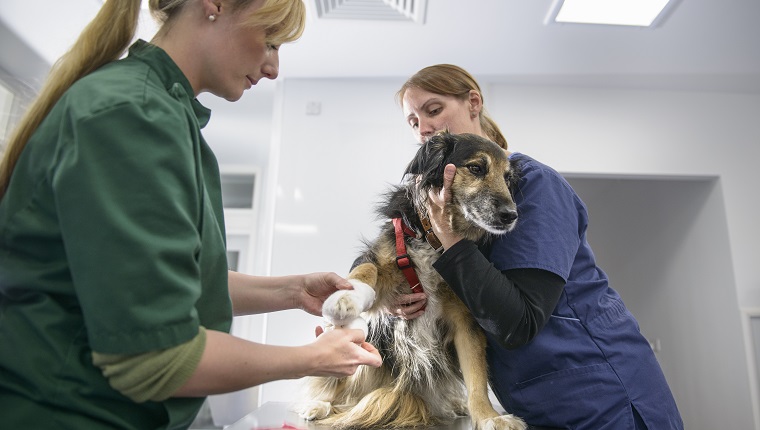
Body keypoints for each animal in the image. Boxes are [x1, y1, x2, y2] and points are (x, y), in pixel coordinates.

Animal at [294, 132, 524, 430]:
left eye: (508, 178)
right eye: (476, 168)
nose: (511, 215)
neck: (436, 242)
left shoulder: (466, 319)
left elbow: (476, 378)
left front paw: (488, 417)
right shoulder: (382, 261)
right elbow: (366, 270)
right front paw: (346, 297)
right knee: (339, 383)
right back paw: (320, 404)